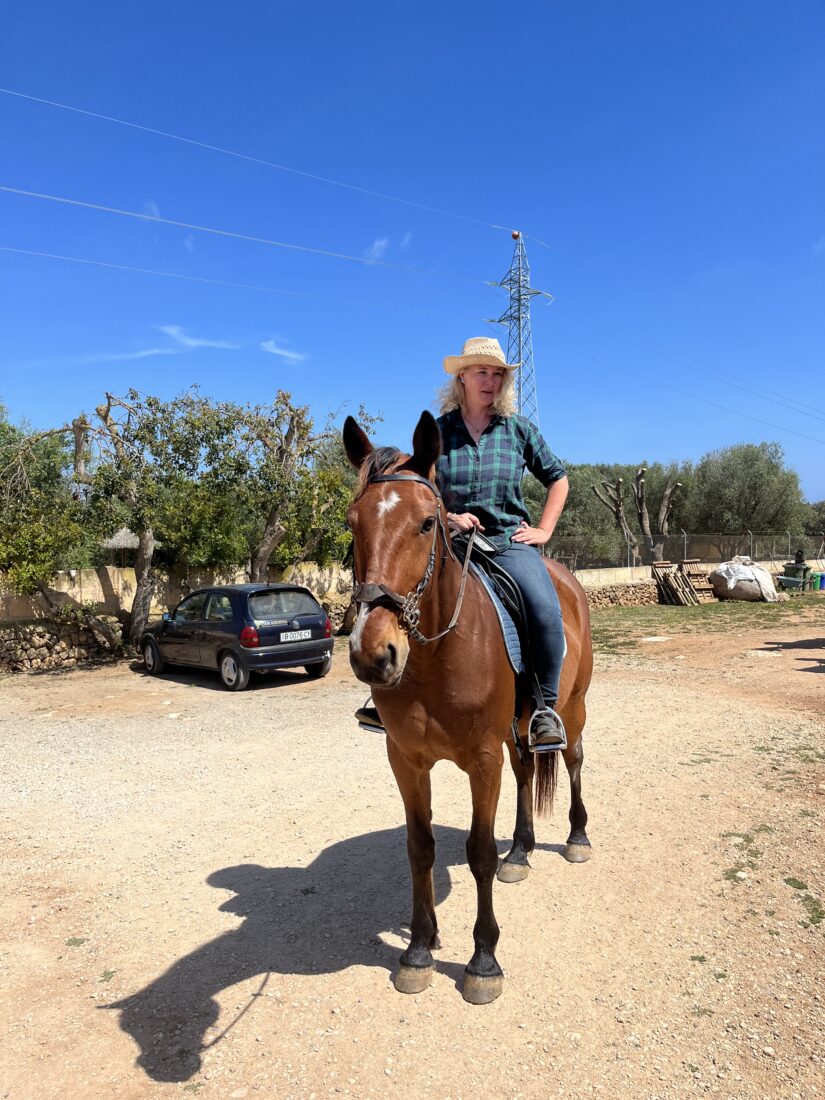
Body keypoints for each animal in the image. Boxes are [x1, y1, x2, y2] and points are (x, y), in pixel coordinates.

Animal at [343, 413, 594, 1007]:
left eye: (426, 524)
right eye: (351, 523)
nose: (373, 654)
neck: (436, 656)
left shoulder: (482, 760)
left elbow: (478, 851)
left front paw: (483, 961)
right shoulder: (406, 760)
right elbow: (420, 848)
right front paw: (419, 948)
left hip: (571, 710)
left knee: (572, 760)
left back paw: (576, 838)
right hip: (515, 727)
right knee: (526, 771)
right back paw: (521, 852)